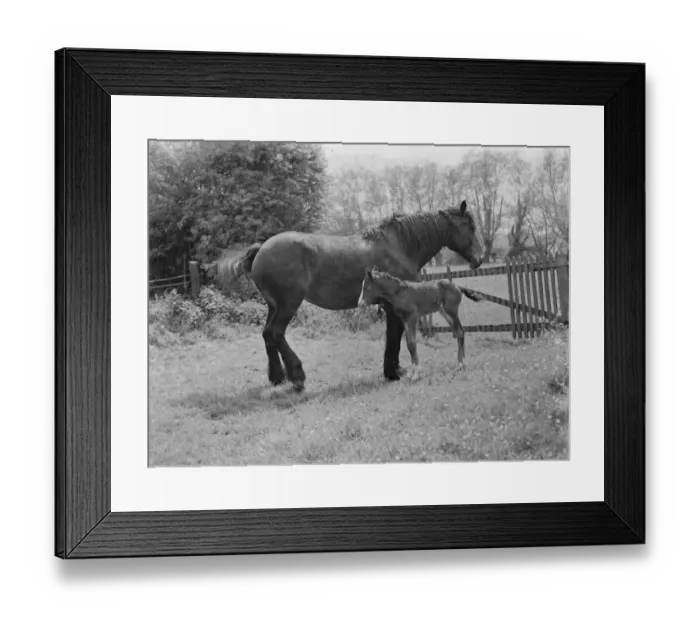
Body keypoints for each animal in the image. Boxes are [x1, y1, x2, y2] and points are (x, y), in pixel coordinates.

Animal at [236, 200, 484, 392]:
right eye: (469, 226)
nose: (479, 259)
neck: (398, 246)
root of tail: (261, 250)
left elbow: (394, 338)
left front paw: (395, 369)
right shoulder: (394, 308)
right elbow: (394, 338)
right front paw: (392, 372)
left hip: (274, 306)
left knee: (267, 334)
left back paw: (278, 378)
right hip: (289, 304)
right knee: (276, 333)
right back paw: (297, 377)